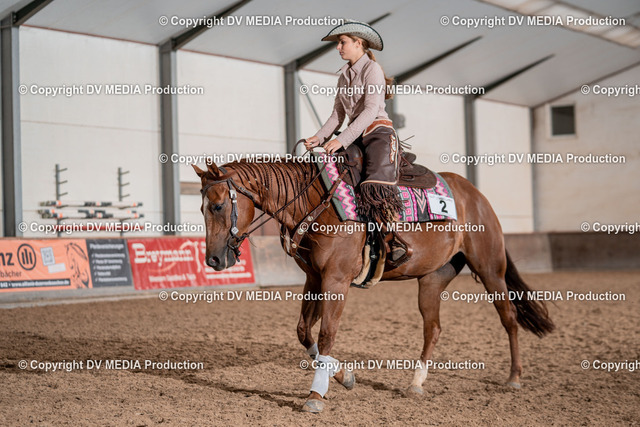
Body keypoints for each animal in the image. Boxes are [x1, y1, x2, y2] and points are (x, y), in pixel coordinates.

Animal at [192, 156, 554, 413]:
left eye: (219, 205)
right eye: (201, 206)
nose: (213, 260)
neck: (318, 206)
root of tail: (476, 195)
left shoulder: (336, 280)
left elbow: (326, 334)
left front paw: (316, 394)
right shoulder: (314, 278)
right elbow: (304, 332)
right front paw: (343, 376)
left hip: (491, 270)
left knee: (508, 318)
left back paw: (514, 377)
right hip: (432, 279)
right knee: (433, 328)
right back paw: (416, 383)